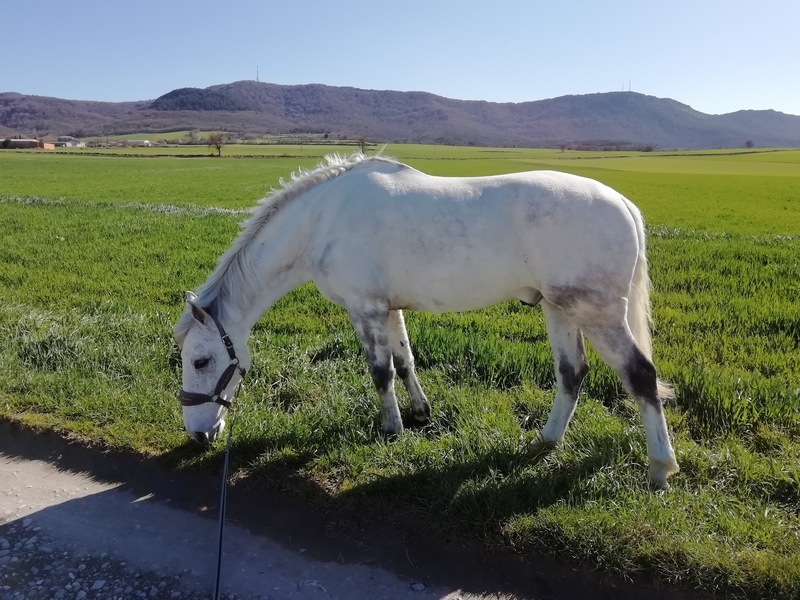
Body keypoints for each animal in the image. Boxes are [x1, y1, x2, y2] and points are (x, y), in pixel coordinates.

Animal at [174, 152, 679, 487]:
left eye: (200, 360)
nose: (198, 436)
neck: (322, 220)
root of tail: (623, 203)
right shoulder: (390, 308)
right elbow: (405, 362)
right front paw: (419, 413)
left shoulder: (365, 308)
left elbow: (380, 373)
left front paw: (391, 428)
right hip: (559, 308)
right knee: (572, 373)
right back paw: (546, 441)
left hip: (598, 313)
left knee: (640, 375)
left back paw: (660, 467)